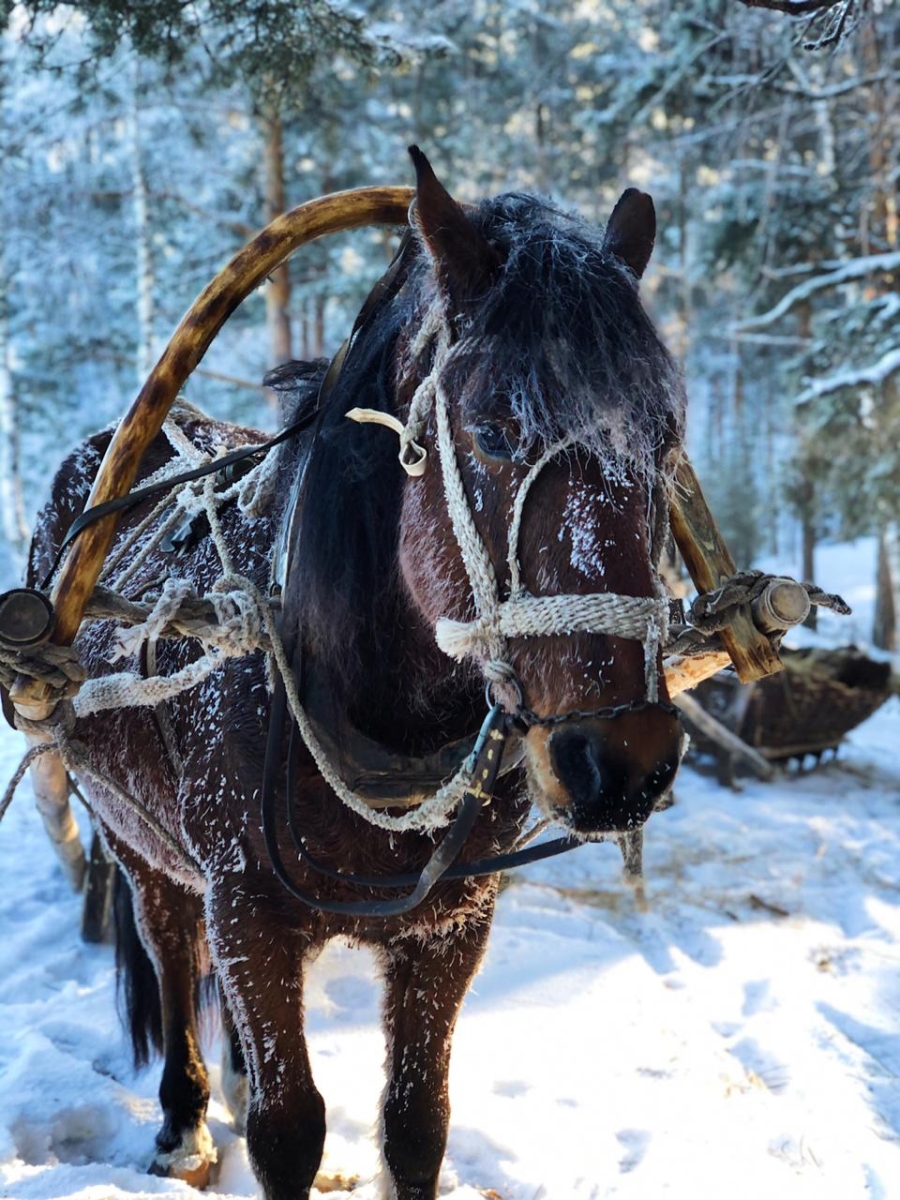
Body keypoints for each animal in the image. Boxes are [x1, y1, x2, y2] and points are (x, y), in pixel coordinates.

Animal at [26, 150, 691, 1200]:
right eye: (493, 431)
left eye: (666, 439)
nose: (622, 758)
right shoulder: (246, 908)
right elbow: (288, 1130)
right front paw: (238, 1119)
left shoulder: (452, 924)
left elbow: (416, 1125)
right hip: (138, 840)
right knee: (169, 947)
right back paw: (185, 1119)